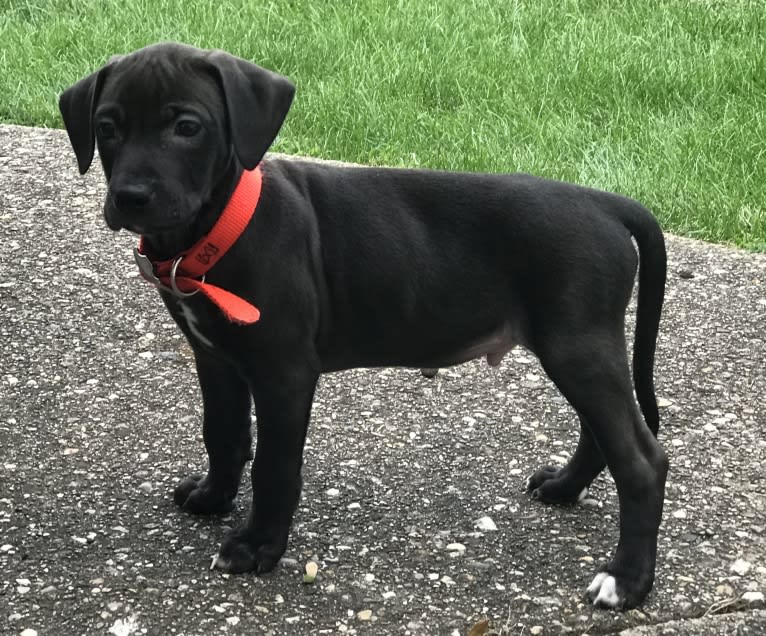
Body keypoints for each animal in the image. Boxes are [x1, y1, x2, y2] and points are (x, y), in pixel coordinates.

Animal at [60, 42, 668, 608]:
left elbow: (275, 466)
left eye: (187, 127)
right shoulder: (215, 359)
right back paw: (565, 488)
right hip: (577, 348)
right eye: (107, 127)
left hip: (577, 346)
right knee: (602, 433)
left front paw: (259, 547)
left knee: (641, 460)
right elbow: (224, 434)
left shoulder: (284, 373)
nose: (130, 197)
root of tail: (606, 203)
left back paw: (626, 580)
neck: (220, 226)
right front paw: (213, 498)